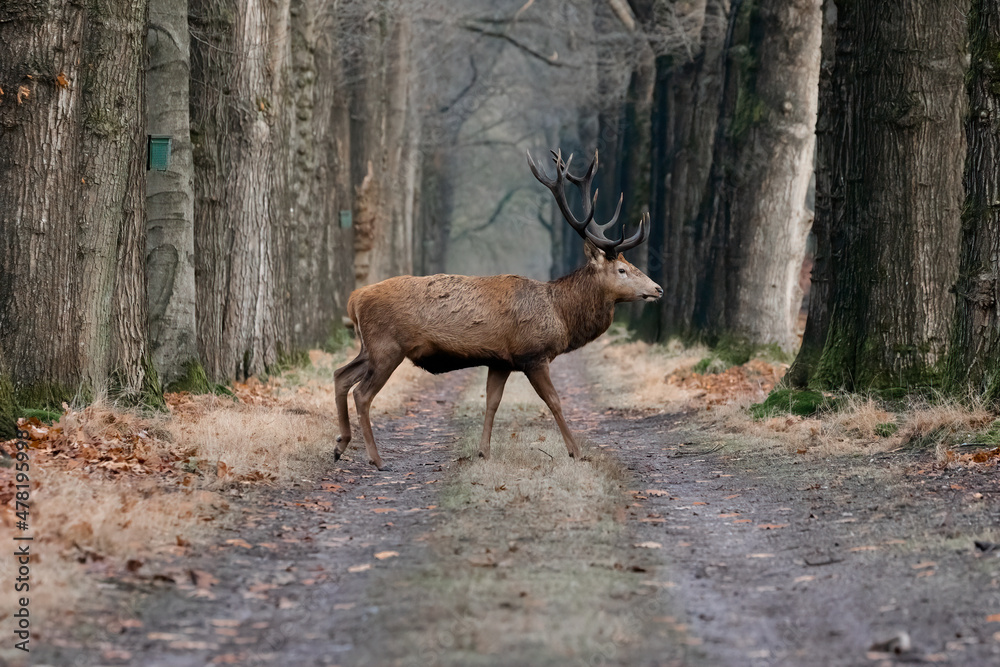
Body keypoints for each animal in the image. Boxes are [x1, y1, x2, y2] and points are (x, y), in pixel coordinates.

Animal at [333, 149, 662, 469]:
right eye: (622, 270)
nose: (658, 289)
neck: (561, 314)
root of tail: (355, 299)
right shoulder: (532, 354)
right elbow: (554, 401)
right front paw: (577, 452)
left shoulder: (501, 361)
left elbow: (492, 402)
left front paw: (483, 452)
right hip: (387, 346)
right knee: (362, 393)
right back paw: (376, 459)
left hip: (369, 346)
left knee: (340, 375)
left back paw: (340, 445)